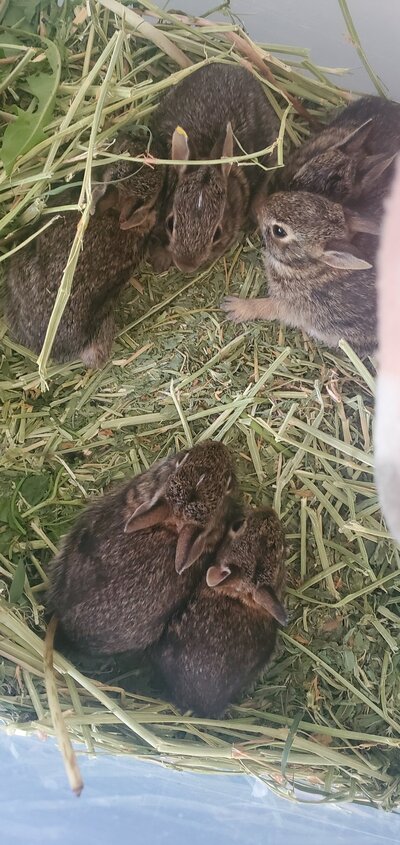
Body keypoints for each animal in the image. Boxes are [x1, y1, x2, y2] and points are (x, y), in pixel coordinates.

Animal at [147, 63, 278, 274]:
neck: (206, 154)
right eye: (170, 222)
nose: (186, 265)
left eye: (217, 233)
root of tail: (234, 68)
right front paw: (161, 260)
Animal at [222, 190, 382, 354]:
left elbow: (267, 307)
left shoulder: (291, 305)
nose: (259, 206)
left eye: (279, 231)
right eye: (307, 196)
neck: (308, 269)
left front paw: (235, 307)